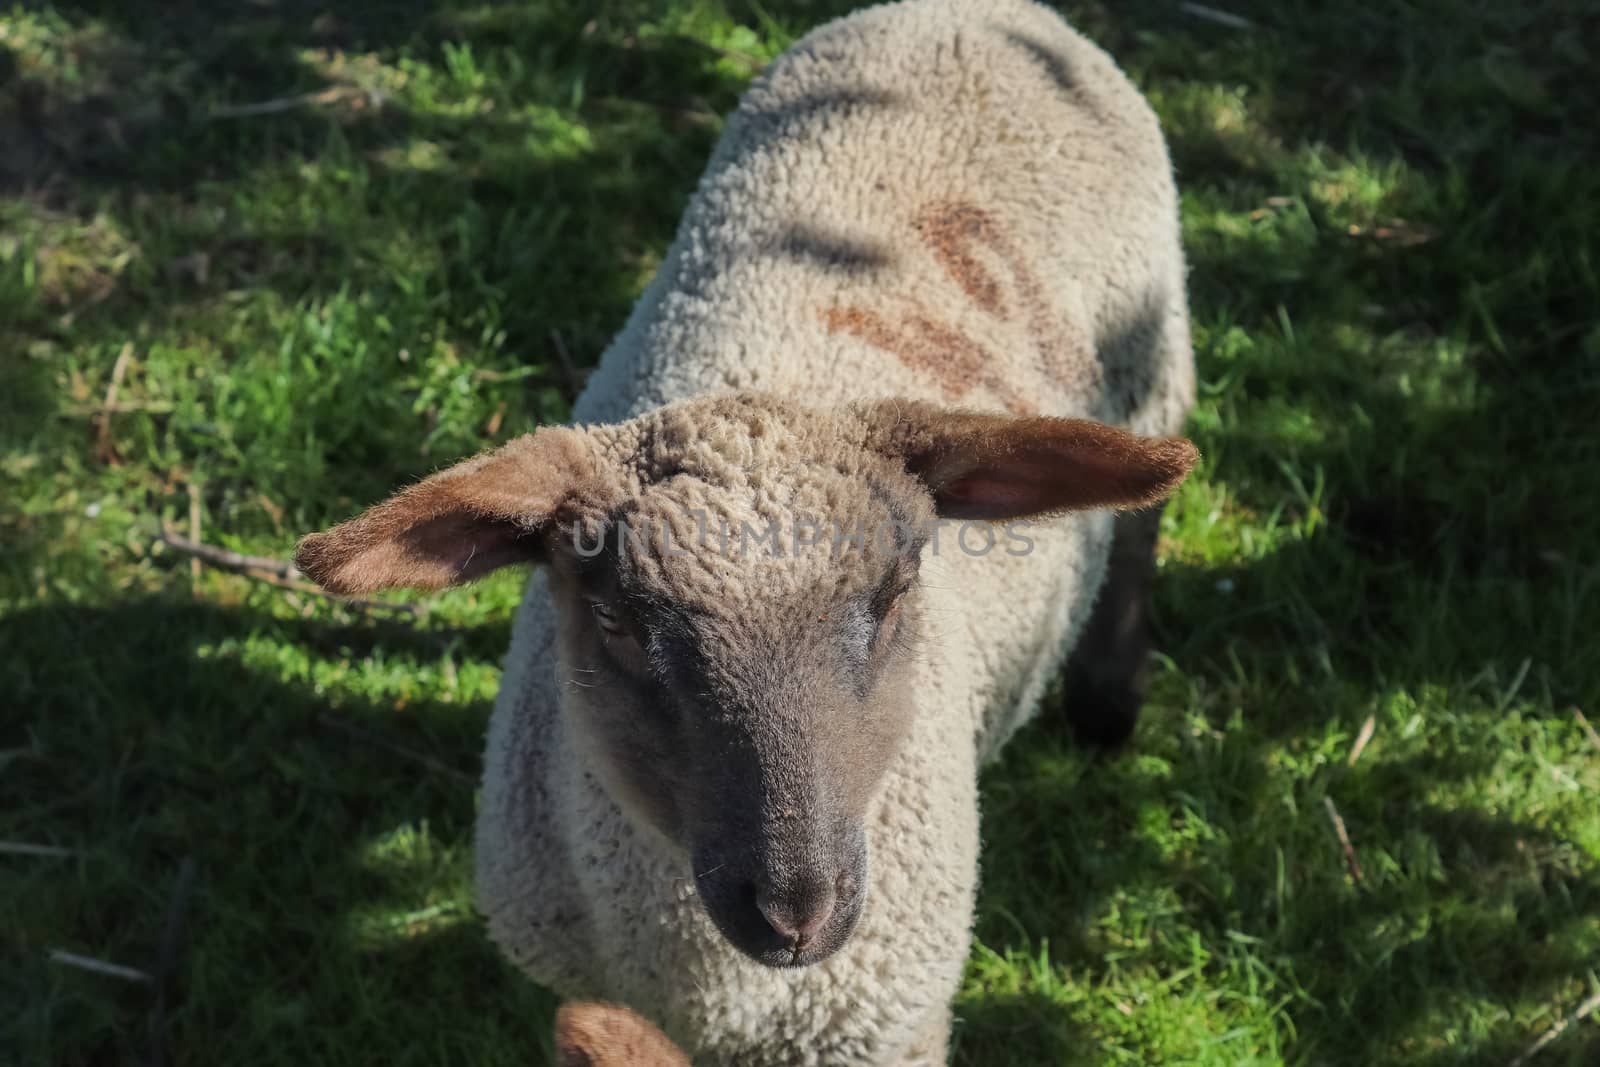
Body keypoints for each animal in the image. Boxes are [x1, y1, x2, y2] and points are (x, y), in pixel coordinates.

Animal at [291, 0, 1203, 1062]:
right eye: (618, 624)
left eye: (896, 596)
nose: (795, 906)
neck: (725, 995)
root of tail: (968, 12)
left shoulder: (888, 1027)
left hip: (1152, 357)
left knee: (1138, 522)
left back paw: (1108, 701)